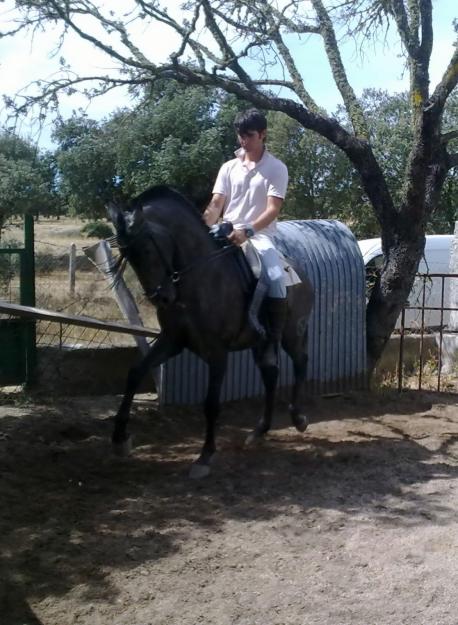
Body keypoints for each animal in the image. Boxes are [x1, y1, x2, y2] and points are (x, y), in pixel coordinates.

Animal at [108, 185, 314, 478]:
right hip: (260, 342)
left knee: (300, 362)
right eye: (128, 255)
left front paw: (205, 456)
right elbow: (135, 373)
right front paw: (119, 438)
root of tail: (299, 272)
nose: (162, 298)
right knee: (271, 374)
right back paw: (260, 431)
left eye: (147, 249)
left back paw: (298, 417)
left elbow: (211, 403)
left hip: (292, 333)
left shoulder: (217, 352)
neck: (197, 277)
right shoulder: (172, 341)